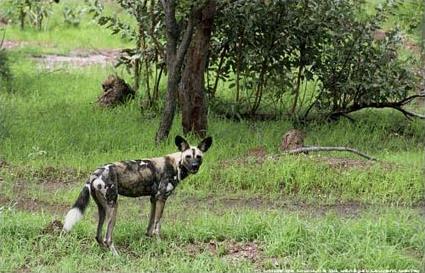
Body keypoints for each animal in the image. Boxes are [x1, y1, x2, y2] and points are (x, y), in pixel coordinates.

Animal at [62, 135, 212, 254]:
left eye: (199, 157)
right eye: (188, 157)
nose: (194, 166)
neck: (176, 163)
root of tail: (95, 173)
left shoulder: (153, 199)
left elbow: (150, 225)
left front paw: (149, 240)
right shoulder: (161, 198)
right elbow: (157, 225)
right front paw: (160, 244)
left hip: (103, 209)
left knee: (98, 236)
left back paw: (105, 252)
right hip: (113, 206)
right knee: (107, 237)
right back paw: (116, 256)